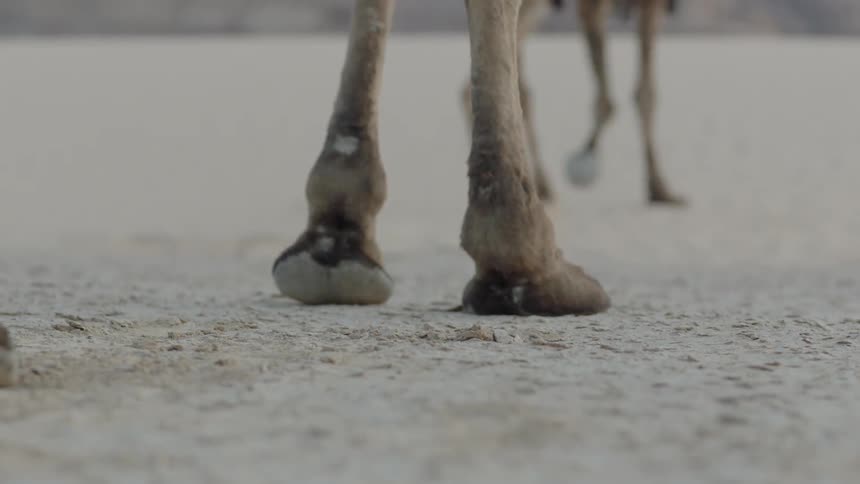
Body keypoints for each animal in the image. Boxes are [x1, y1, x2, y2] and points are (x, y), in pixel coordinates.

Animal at [462, 0, 683, 204]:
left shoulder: (653, 5)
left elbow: (645, 94)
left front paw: (659, 189)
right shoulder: (590, 7)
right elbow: (606, 100)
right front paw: (586, 152)